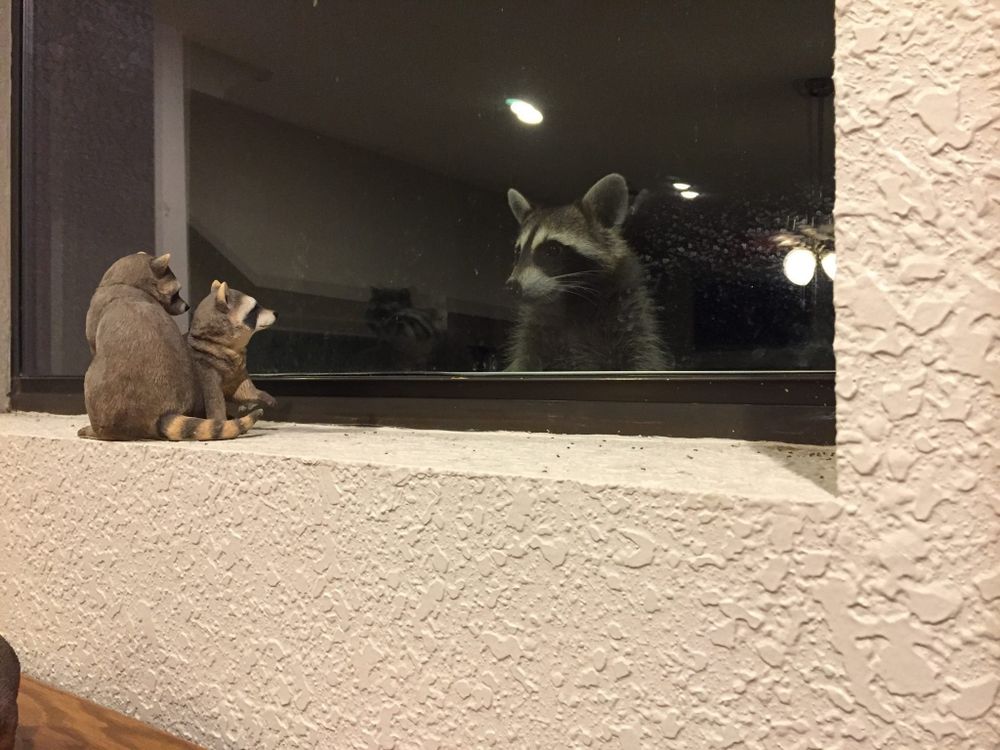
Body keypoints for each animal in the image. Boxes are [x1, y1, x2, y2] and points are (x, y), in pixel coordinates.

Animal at [78, 253, 261, 441]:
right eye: (176, 293)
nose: (187, 306)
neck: (127, 284)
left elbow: (93, 345)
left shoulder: (95, 314)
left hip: (104, 394)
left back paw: (94, 431)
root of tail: (164, 413)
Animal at [188, 280, 277, 420]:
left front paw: (261, 394)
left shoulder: (239, 369)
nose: (276, 313)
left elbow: (244, 389)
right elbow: (214, 398)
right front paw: (219, 420)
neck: (231, 348)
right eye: (254, 309)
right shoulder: (205, 366)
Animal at [505, 173, 668, 371]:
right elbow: (526, 360)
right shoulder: (535, 333)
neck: (572, 300)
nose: (512, 287)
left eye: (552, 250)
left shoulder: (629, 315)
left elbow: (642, 358)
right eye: (517, 253)